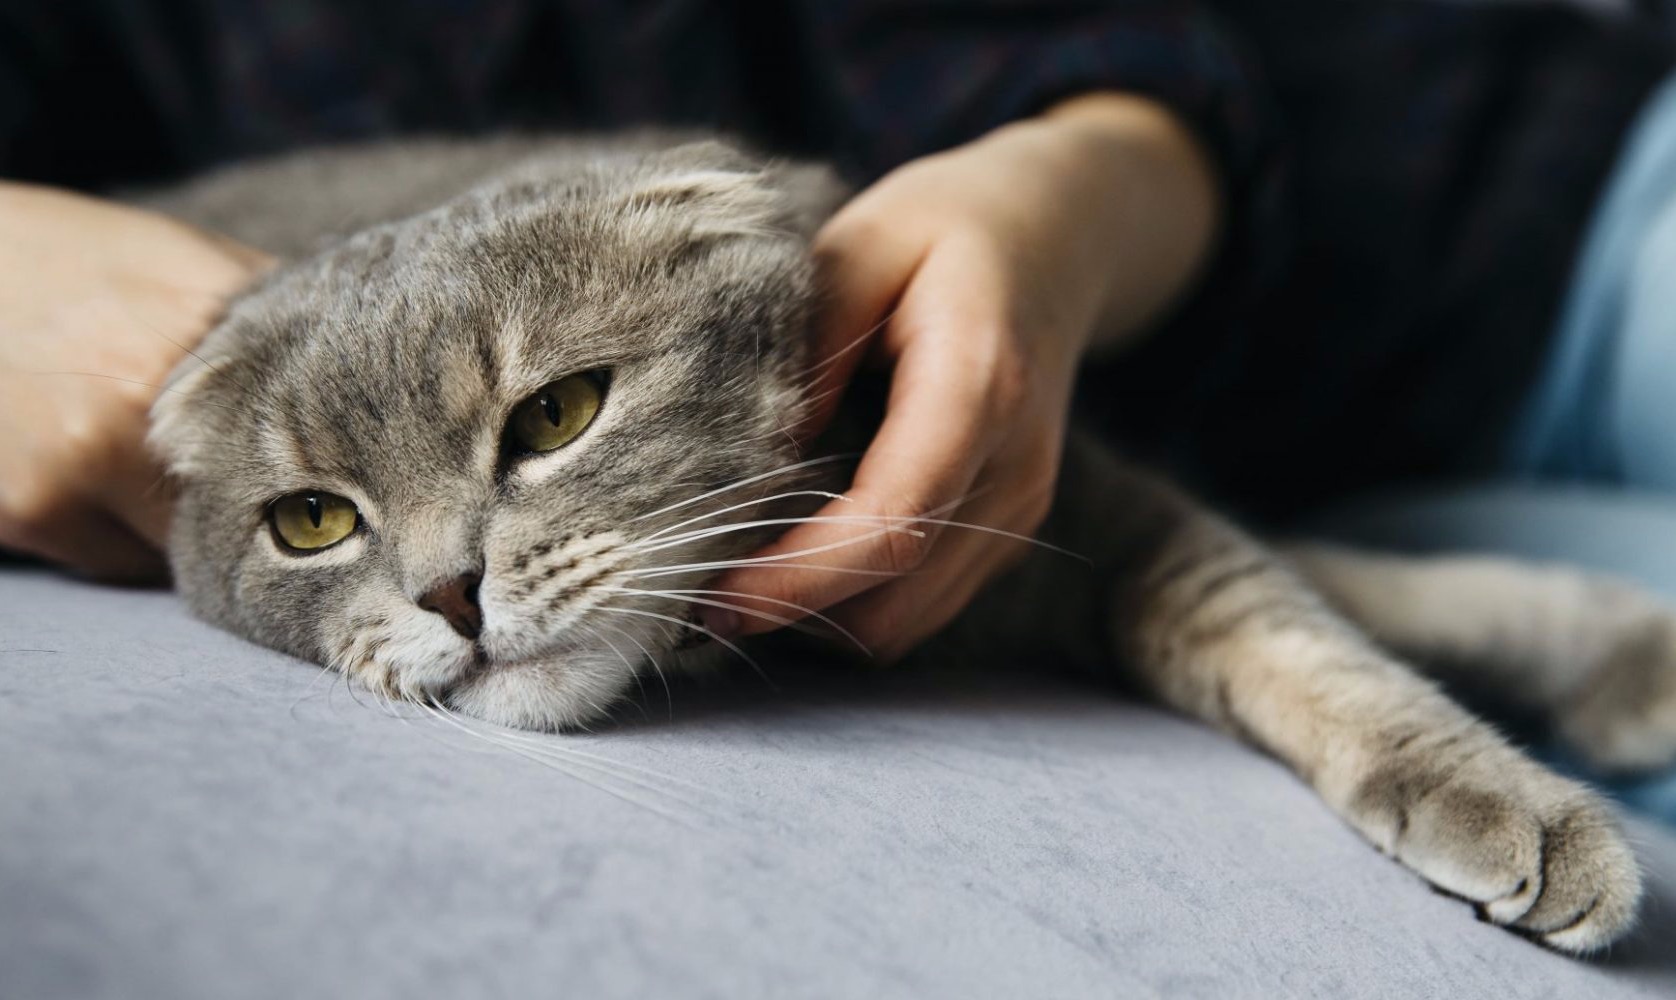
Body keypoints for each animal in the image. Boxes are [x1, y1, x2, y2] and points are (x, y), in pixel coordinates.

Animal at [140, 132, 1676, 951]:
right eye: (314, 522)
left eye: (556, 414)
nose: (449, 591)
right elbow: (1303, 604)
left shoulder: (1074, 512)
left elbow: (1306, 613)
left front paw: (1606, 674)